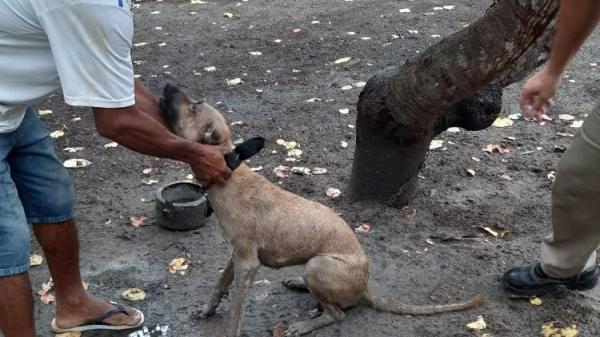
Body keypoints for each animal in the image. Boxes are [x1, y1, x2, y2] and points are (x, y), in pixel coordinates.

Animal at [159, 84, 482, 336]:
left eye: (194, 106)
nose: (166, 85)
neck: (228, 174)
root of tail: (365, 286)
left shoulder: (247, 264)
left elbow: (234, 313)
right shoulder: (235, 257)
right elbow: (218, 285)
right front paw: (206, 310)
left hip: (318, 265)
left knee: (337, 313)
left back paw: (304, 324)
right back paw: (297, 284)